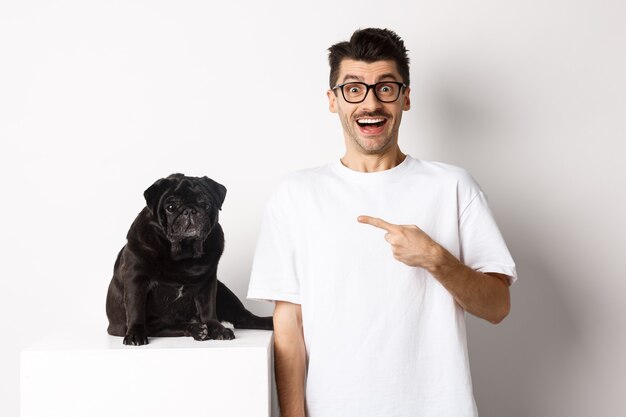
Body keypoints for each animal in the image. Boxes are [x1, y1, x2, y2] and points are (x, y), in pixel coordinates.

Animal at [106, 172, 272, 344]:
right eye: (170, 207)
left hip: (223, 291)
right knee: (165, 326)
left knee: (244, 318)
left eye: (205, 204)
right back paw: (197, 329)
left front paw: (217, 328)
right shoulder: (136, 280)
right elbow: (136, 309)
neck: (183, 252)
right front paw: (135, 334)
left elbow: (208, 309)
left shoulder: (208, 282)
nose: (190, 210)